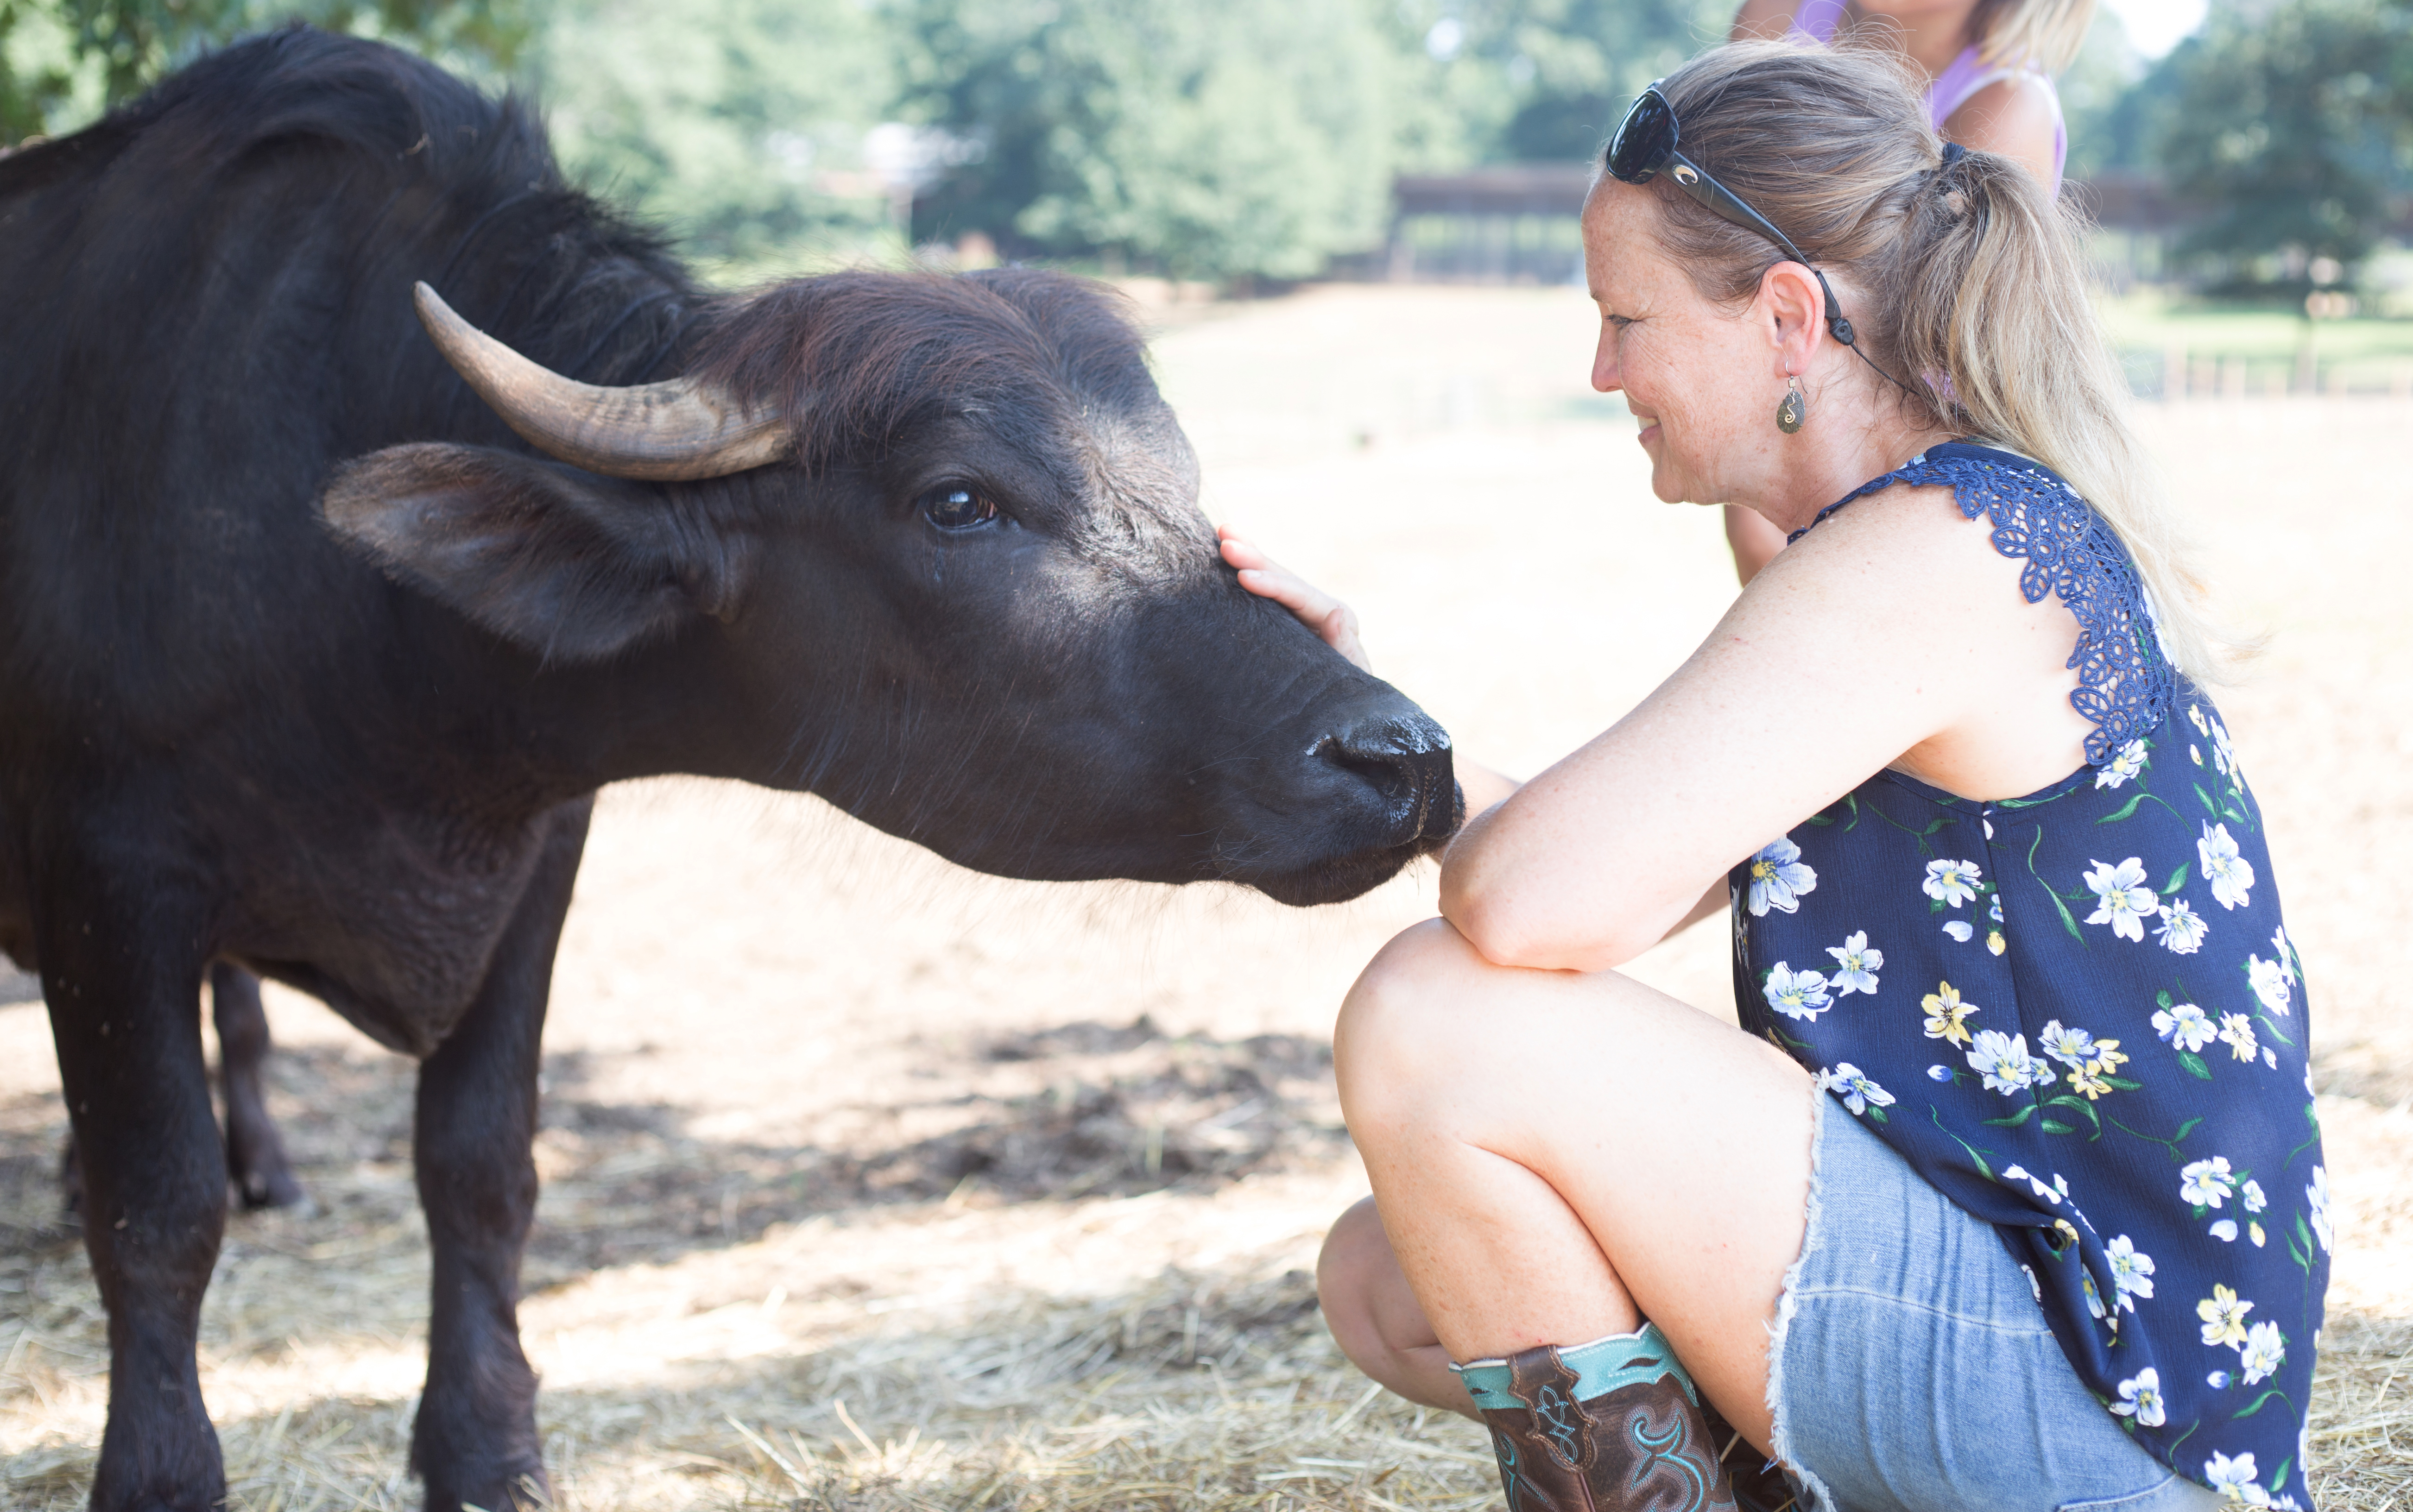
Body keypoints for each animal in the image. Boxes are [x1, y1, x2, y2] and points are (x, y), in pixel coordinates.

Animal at [0, 26, 1457, 1512]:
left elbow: (480, 1167)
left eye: (1183, 489)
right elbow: (158, 1205)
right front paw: (163, 1474)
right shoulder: (111, 885)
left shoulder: (535, 864)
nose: (1400, 757)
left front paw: (487, 1449)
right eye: (959, 500)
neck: (367, 629)